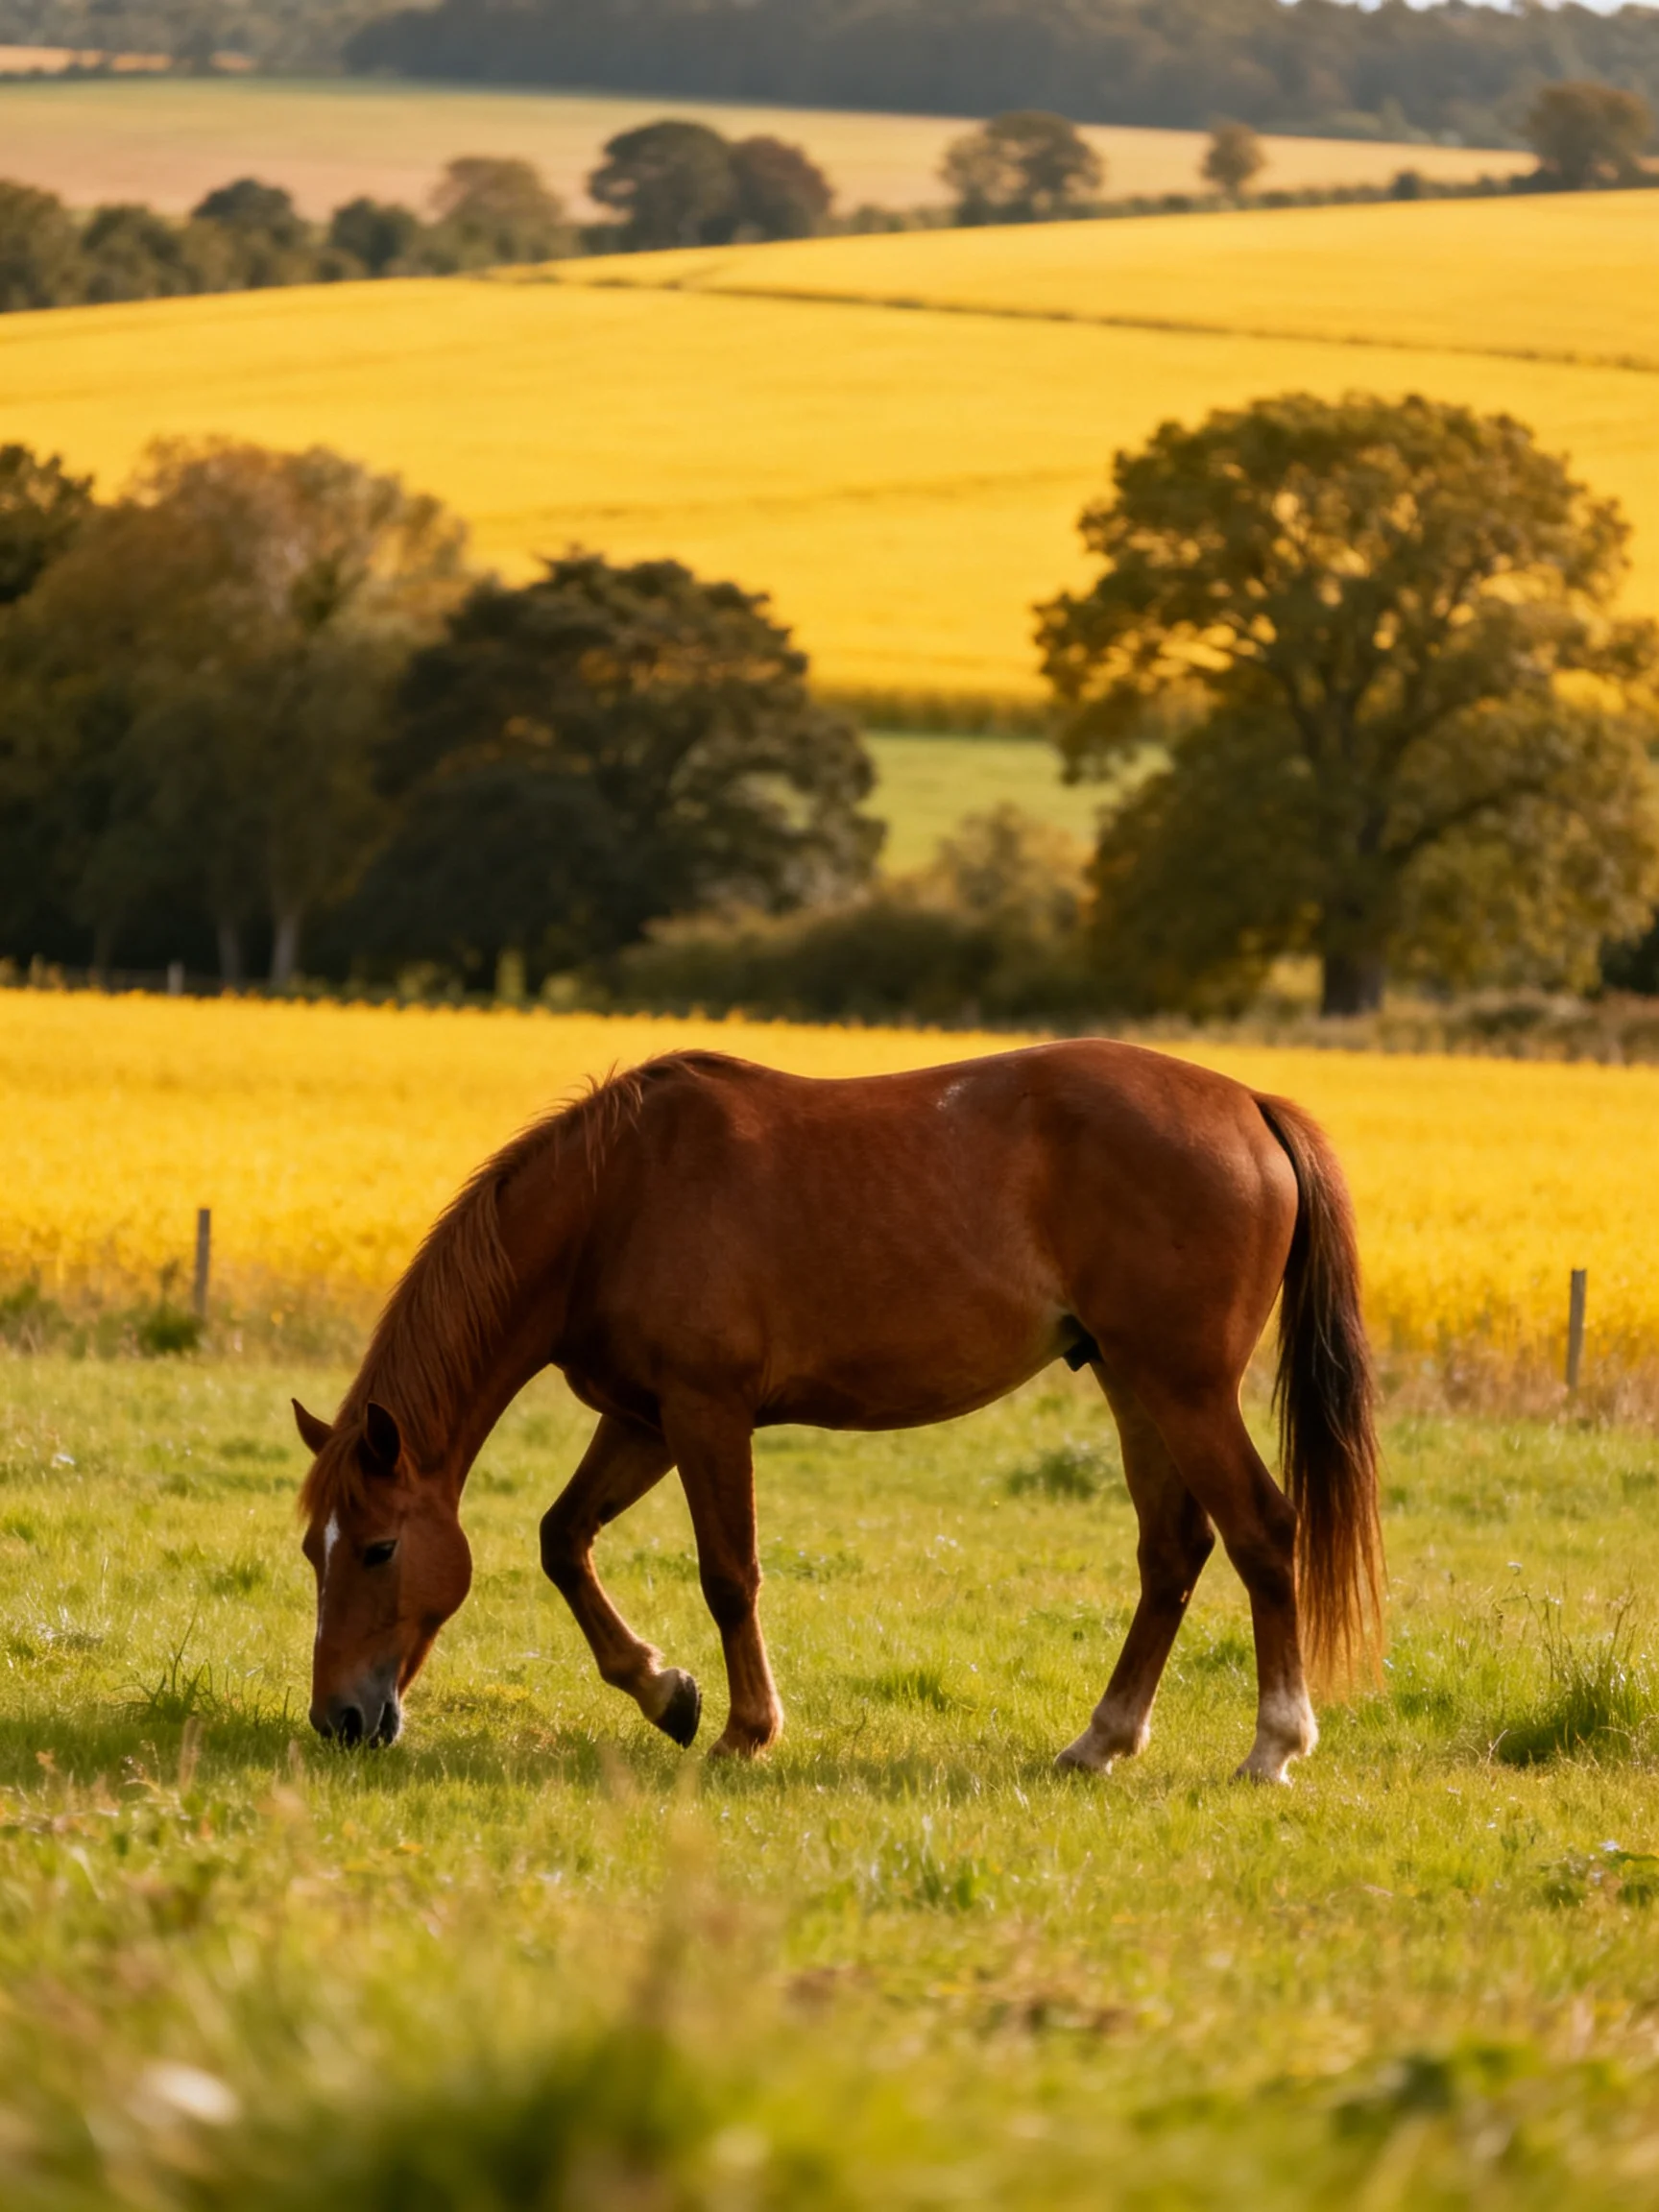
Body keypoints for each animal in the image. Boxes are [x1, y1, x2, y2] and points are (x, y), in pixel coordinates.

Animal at [294, 1040, 1382, 1781]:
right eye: (315, 1549)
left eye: (380, 1549)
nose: (338, 1720)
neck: (617, 1200)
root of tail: (1249, 1105)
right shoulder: (642, 1419)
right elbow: (563, 1540)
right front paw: (664, 1691)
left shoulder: (705, 1413)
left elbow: (728, 1574)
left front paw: (744, 1730)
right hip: (1131, 1381)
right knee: (1173, 1553)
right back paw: (1101, 1739)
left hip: (1186, 1389)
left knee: (1260, 1530)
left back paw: (1275, 1746)